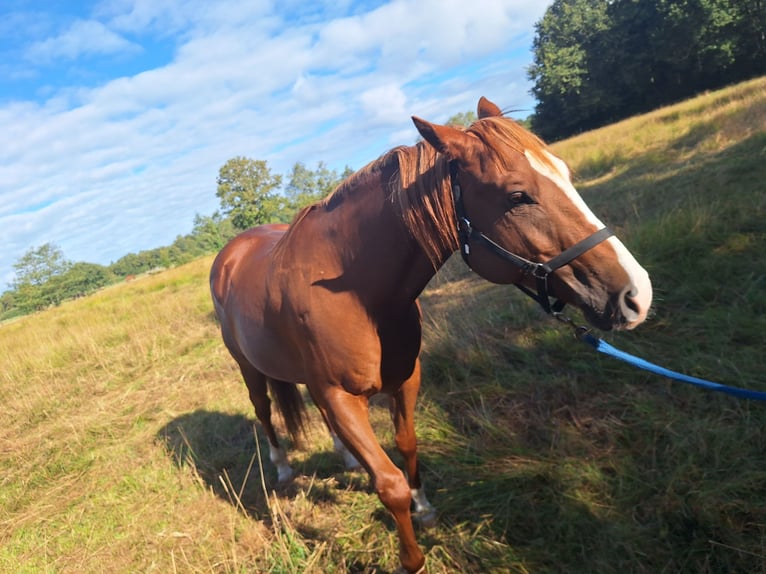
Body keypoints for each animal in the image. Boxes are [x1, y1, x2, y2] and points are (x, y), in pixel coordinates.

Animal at [209, 97, 652, 573]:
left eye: (566, 174)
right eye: (517, 196)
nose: (636, 294)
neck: (358, 295)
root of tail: (231, 253)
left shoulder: (405, 379)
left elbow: (407, 445)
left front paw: (423, 507)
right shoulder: (340, 397)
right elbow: (389, 484)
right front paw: (413, 559)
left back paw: (345, 457)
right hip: (249, 369)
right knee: (264, 410)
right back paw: (283, 469)